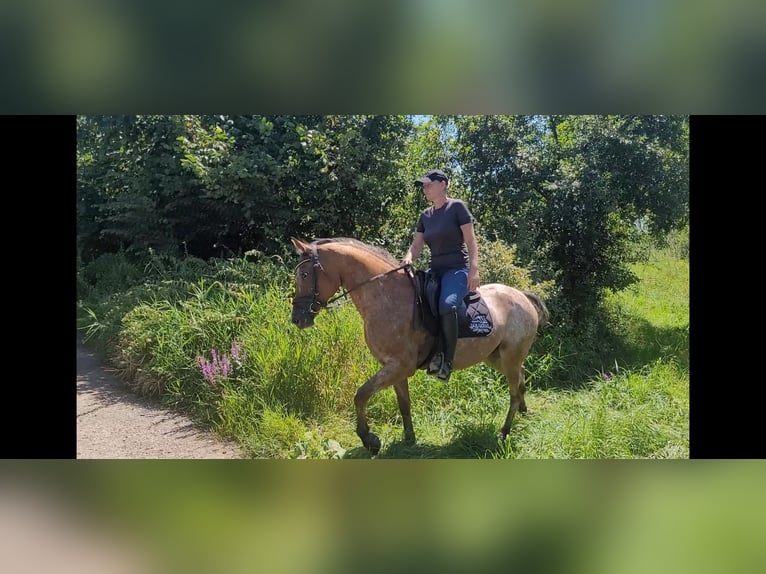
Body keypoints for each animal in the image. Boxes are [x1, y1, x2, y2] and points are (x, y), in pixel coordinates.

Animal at [292, 237, 548, 454]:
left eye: (304, 274)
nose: (297, 319)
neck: (385, 297)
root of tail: (522, 296)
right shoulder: (394, 368)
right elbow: (403, 404)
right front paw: (409, 439)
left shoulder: (400, 366)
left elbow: (361, 395)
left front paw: (369, 440)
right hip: (496, 357)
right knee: (521, 377)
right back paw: (524, 411)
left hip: (509, 357)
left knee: (513, 391)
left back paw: (504, 432)